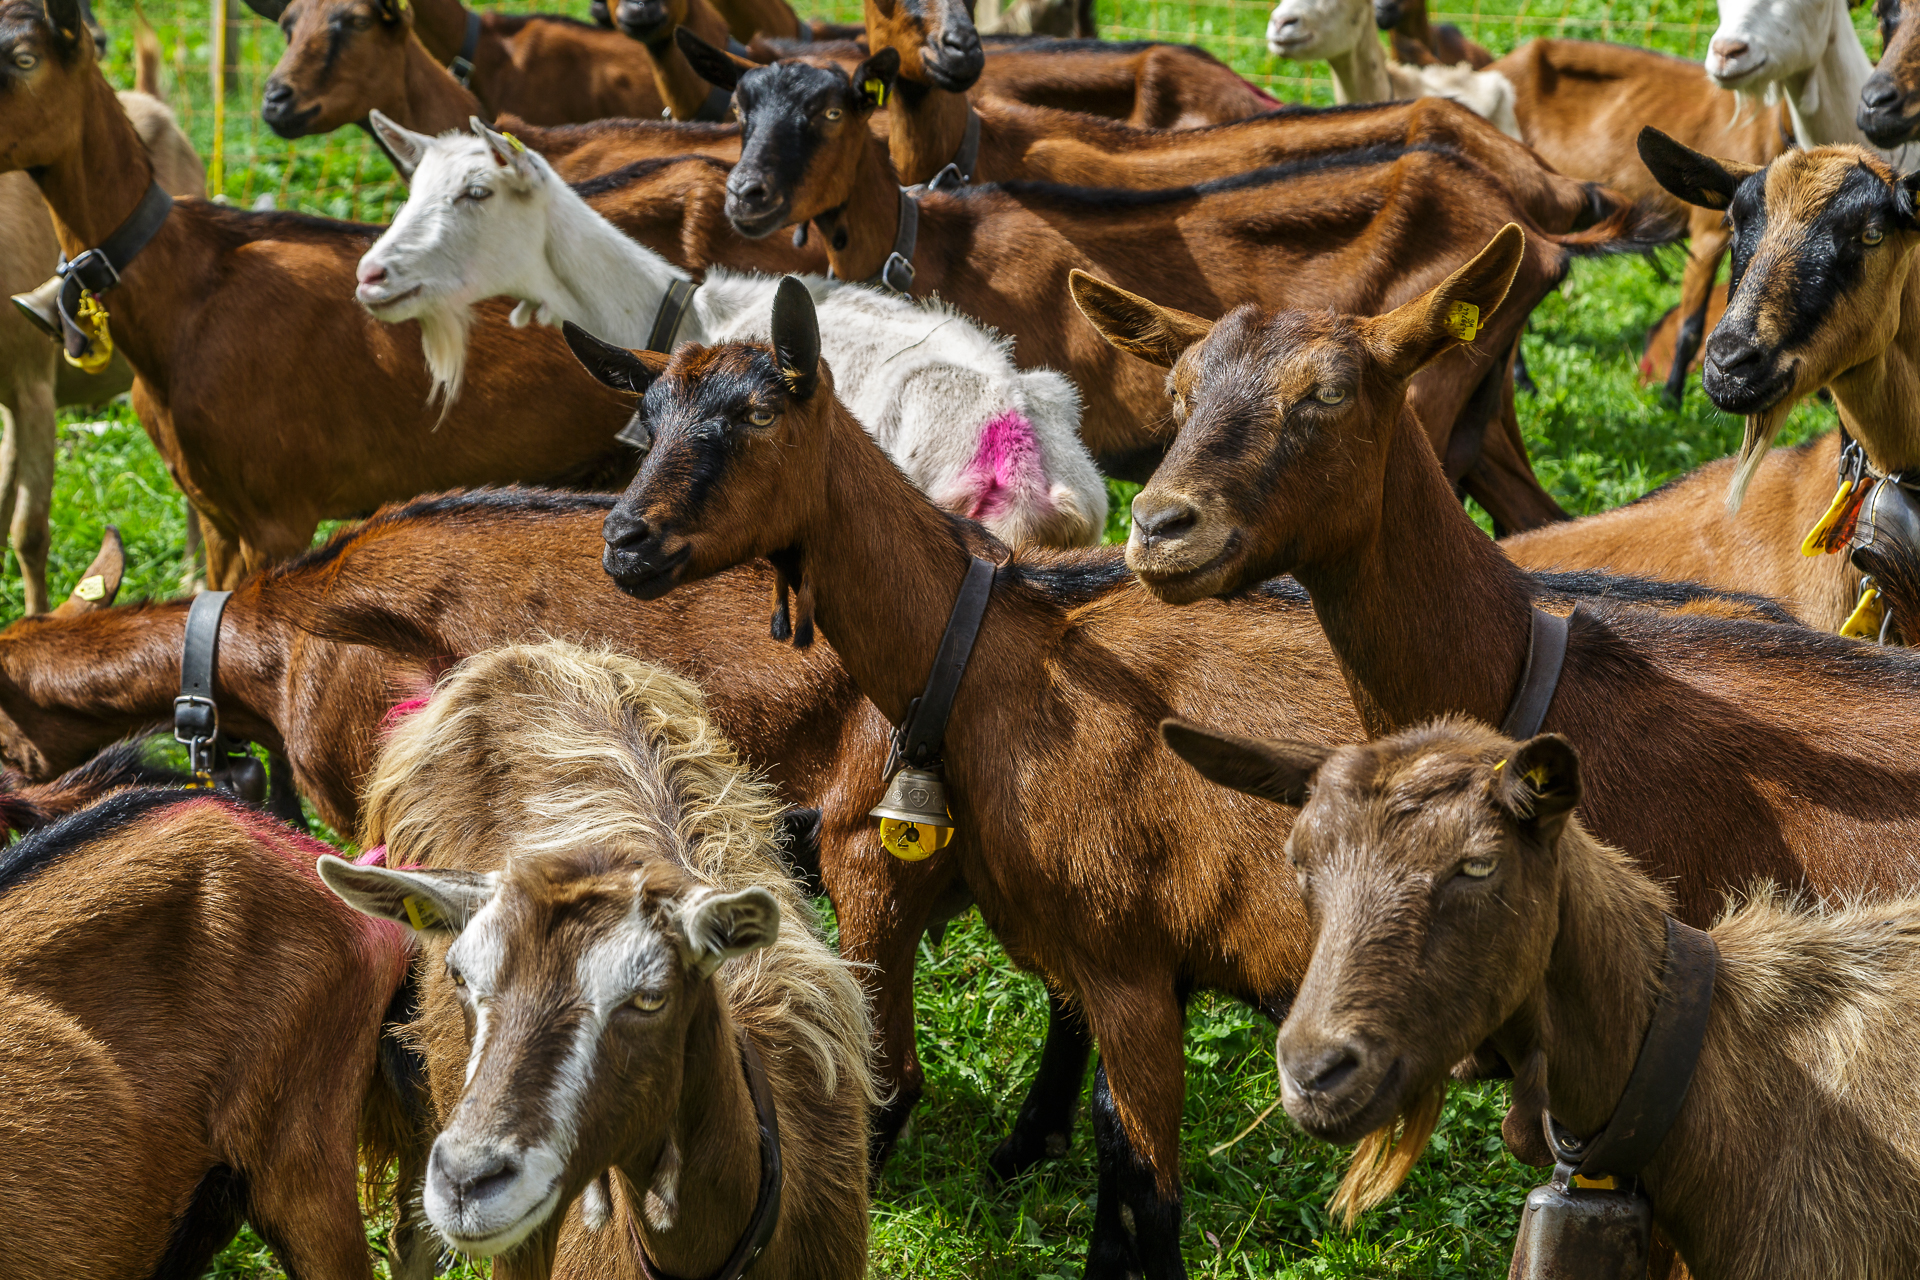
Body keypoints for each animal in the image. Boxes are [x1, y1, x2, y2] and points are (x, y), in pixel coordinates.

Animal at [704, 50, 1675, 523]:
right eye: (740, 108)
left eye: (832, 108)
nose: (746, 196)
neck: (928, 239)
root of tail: (1540, 234)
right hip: (1482, 406)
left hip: (1426, 410)